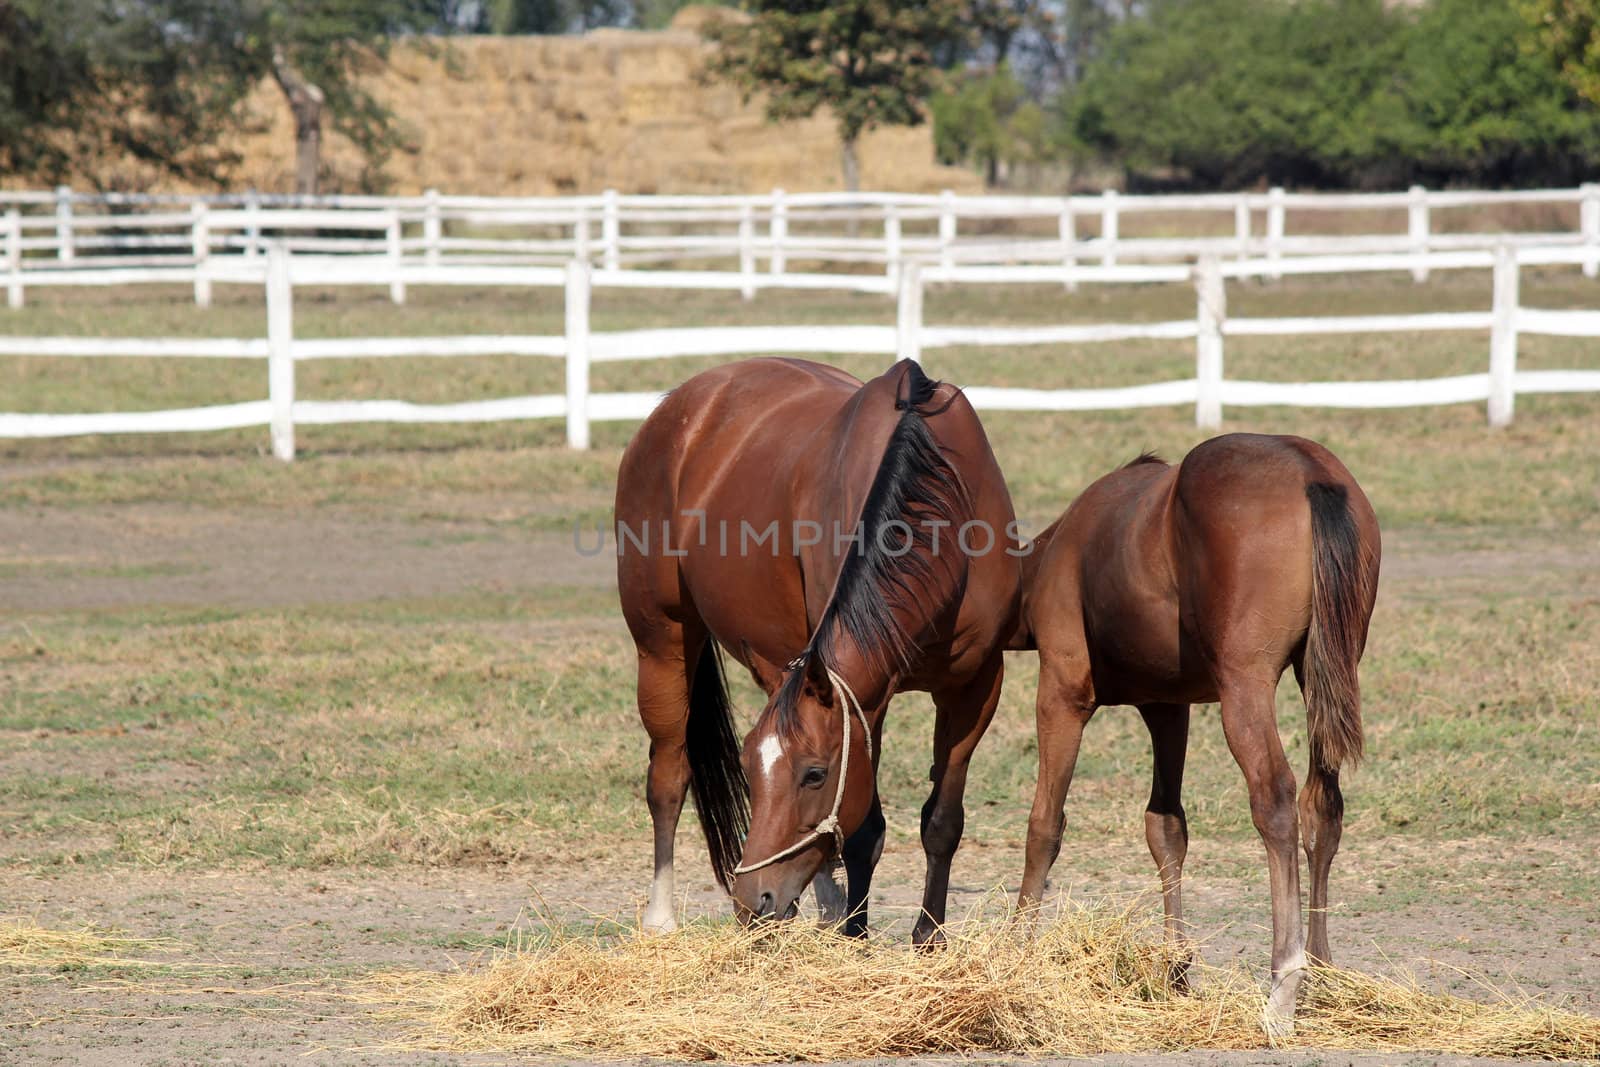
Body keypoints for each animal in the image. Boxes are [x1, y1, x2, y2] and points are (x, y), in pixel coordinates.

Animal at [1017, 431, 1382, 1036]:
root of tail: (1310, 473)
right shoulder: (1168, 707)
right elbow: (1166, 828)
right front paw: (1176, 969)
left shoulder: (1063, 693)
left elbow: (1045, 824)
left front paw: (1013, 948)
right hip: (1323, 673)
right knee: (1321, 806)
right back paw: (1323, 974)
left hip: (1246, 687)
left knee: (1275, 800)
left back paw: (1285, 986)